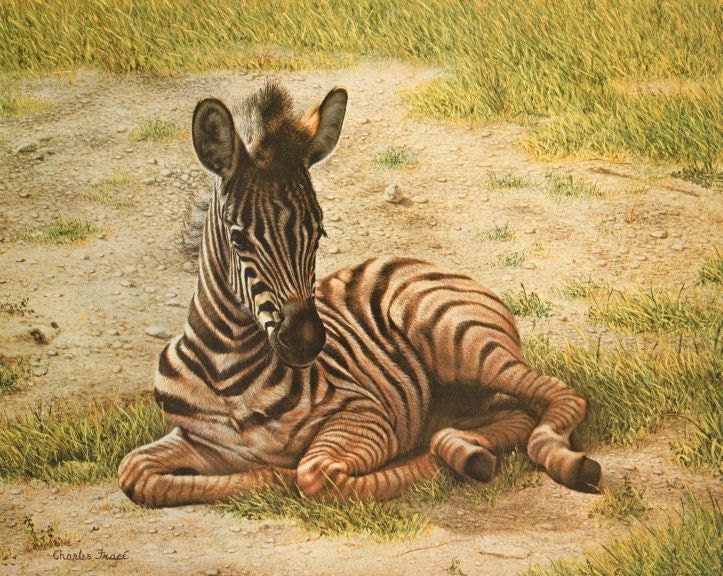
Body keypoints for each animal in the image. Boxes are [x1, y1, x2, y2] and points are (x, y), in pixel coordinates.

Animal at [118, 82, 603, 507]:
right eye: (239, 239)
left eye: (318, 234)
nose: (308, 342)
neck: (226, 373)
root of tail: (426, 264)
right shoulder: (201, 441)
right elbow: (134, 473)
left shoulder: (367, 415)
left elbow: (315, 475)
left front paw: (279, 477)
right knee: (516, 414)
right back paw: (466, 447)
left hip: (459, 338)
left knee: (561, 396)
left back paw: (556, 461)